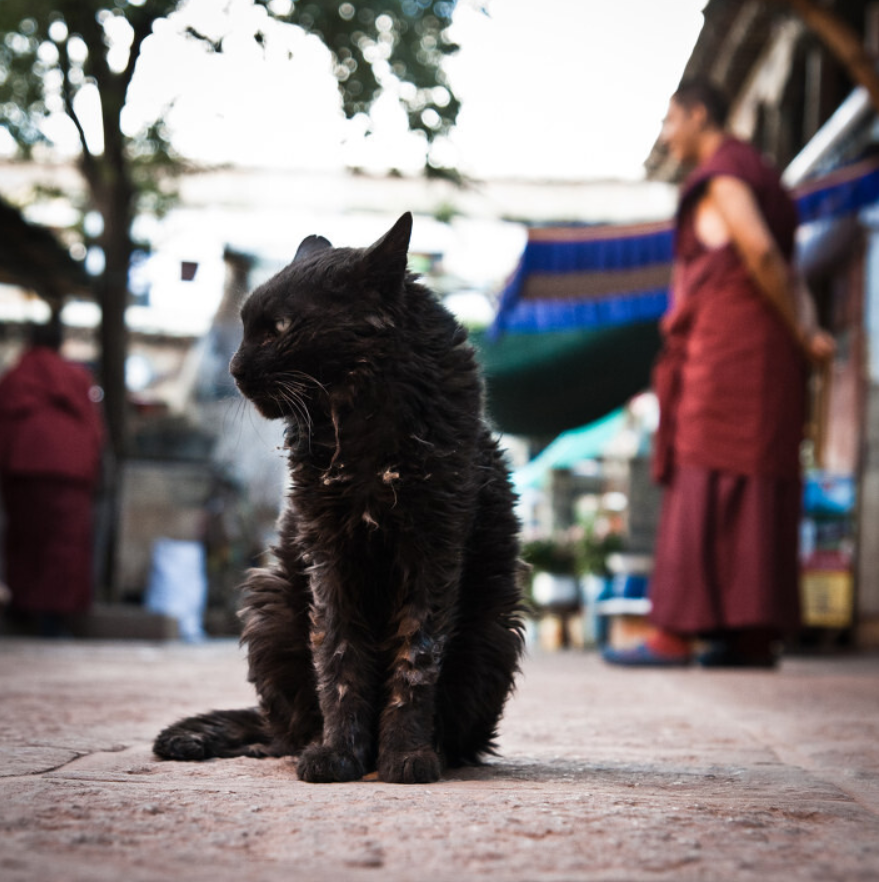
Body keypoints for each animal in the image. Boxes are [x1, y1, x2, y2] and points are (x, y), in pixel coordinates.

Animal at [155, 213, 524, 784]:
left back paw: (432, 752)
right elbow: (339, 658)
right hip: (270, 607)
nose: (235, 368)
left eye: (281, 326)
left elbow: (414, 661)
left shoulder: (432, 550)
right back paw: (279, 745)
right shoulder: (329, 554)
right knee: (278, 728)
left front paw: (405, 755)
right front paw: (338, 753)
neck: (359, 424)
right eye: (246, 326)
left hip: (493, 632)